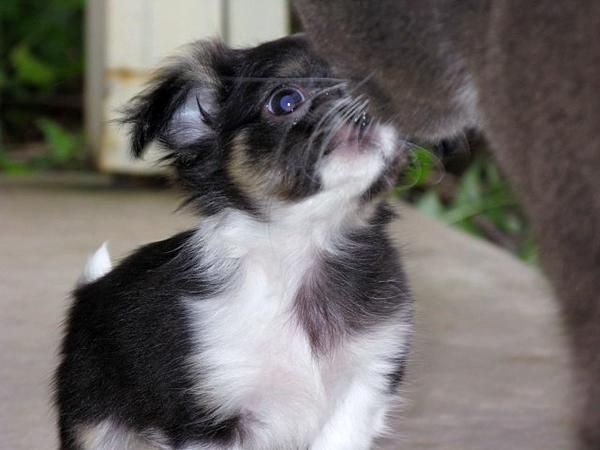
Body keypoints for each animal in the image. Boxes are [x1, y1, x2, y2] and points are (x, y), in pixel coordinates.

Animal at [55, 36, 412, 450]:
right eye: (285, 101)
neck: (303, 244)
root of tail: (91, 290)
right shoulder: (214, 416)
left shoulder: (363, 383)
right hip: (96, 425)